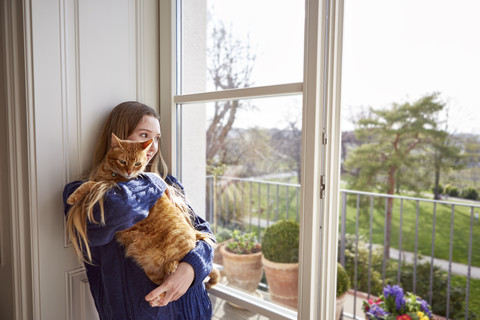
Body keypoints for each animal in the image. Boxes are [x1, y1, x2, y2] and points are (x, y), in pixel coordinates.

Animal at [66, 134, 219, 288]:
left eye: (137, 164)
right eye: (123, 161)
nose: (129, 172)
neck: (110, 173)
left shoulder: (109, 188)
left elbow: (90, 184)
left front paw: (73, 197)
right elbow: (89, 182)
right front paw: (74, 195)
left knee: (182, 260)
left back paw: (173, 266)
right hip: (151, 269)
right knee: (162, 282)